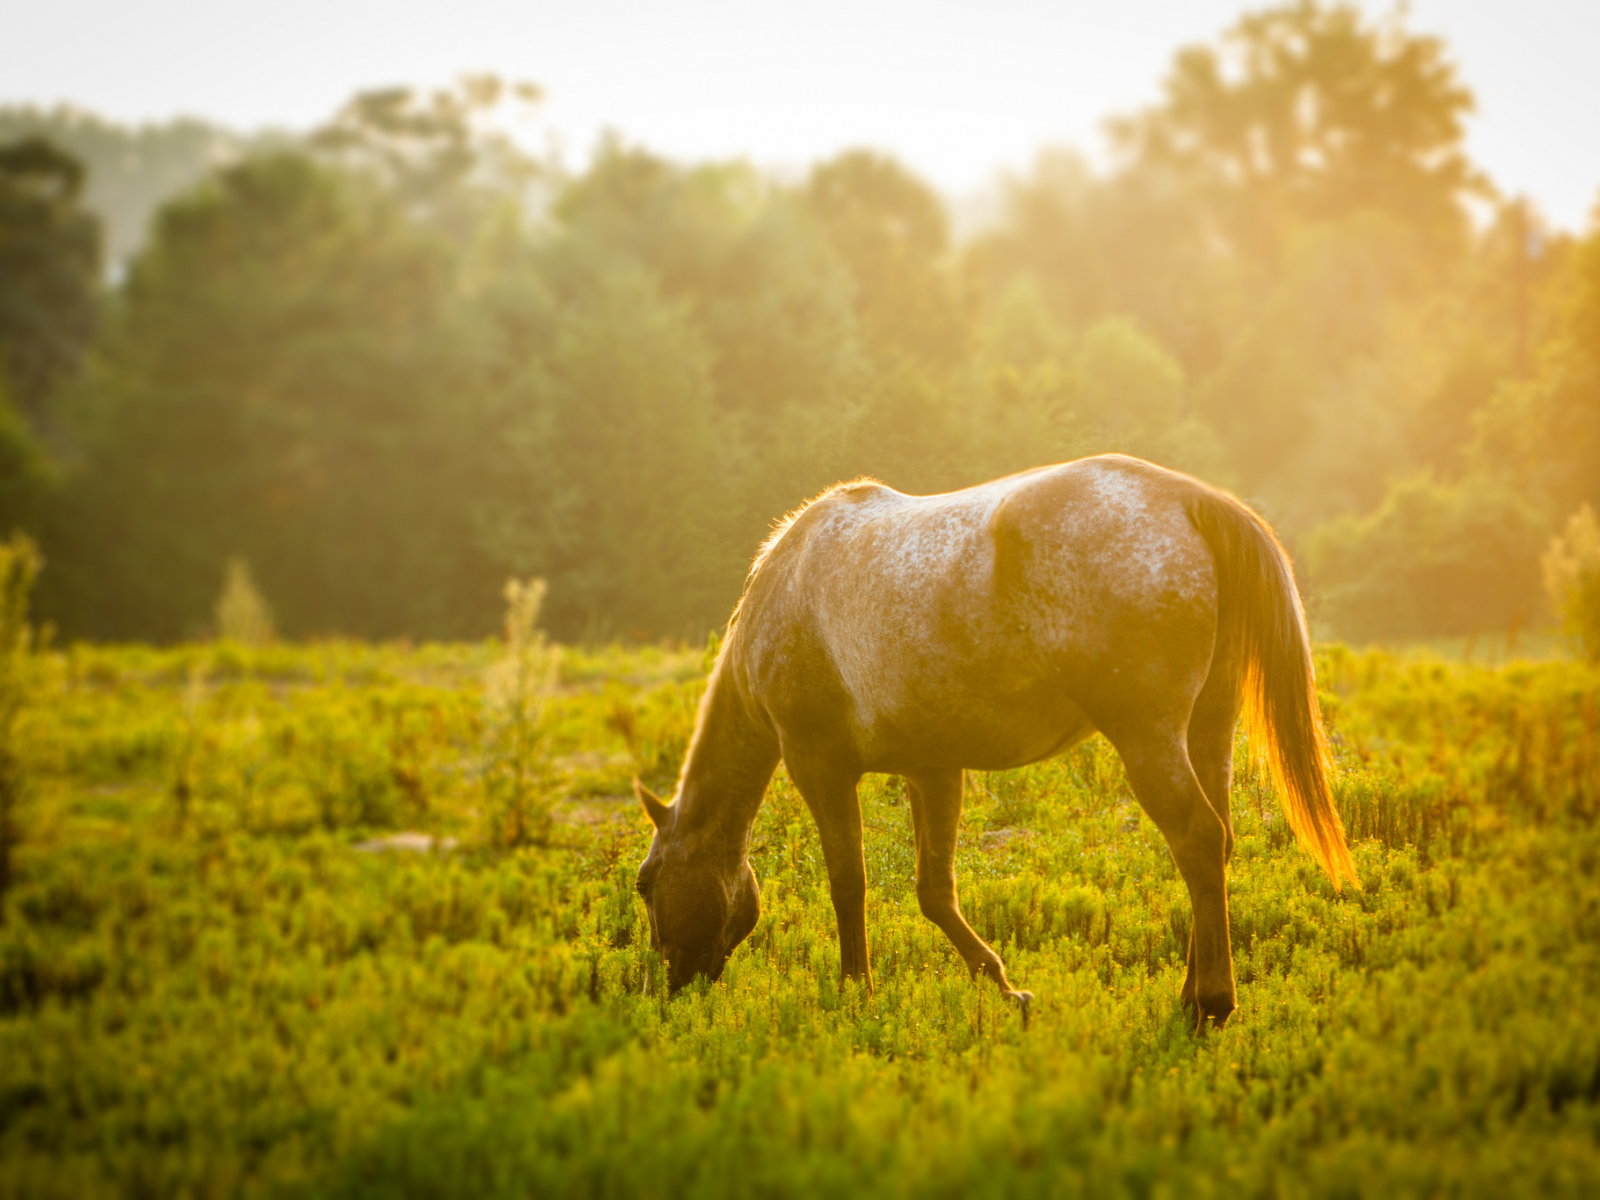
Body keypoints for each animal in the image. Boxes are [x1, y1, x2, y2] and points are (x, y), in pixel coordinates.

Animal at [630, 454, 1356, 1036]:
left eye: (644, 884)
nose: (670, 988)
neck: (786, 588)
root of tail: (1189, 500)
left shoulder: (820, 767)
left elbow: (849, 883)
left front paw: (855, 991)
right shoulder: (932, 769)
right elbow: (934, 891)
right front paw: (1005, 988)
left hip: (1149, 739)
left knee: (1198, 841)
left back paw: (1210, 1004)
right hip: (1208, 731)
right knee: (1218, 845)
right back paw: (1188, 994)